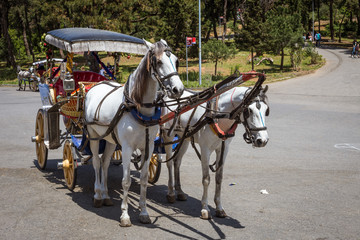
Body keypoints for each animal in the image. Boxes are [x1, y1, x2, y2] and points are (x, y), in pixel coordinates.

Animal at [84, 39, 184, 227]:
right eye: (159, 62)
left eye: (176, 60)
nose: (178, 90)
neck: (138, 107)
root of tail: (94, 87)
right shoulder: (127, 147)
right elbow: (126, 181)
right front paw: (124, 215)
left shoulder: (148, 146)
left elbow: (144, 179)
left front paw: (144, 212)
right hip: (93, 135)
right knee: (96, 162)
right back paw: (97, 194)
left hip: (110, 139)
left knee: (105, 163)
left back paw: (106, 195)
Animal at [162, 86, 268, 219]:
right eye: (249, 110)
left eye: (266, 110)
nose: (262, 140)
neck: (218, 115)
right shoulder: (205, 149)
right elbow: (206, 179)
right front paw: (205, 208)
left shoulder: (223, 148)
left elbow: (219, 178)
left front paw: (219, 207)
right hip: (168, 136)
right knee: (169, 163)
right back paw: (171, 192)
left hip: (184, 138)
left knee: (177, 162)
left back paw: (179, 192)